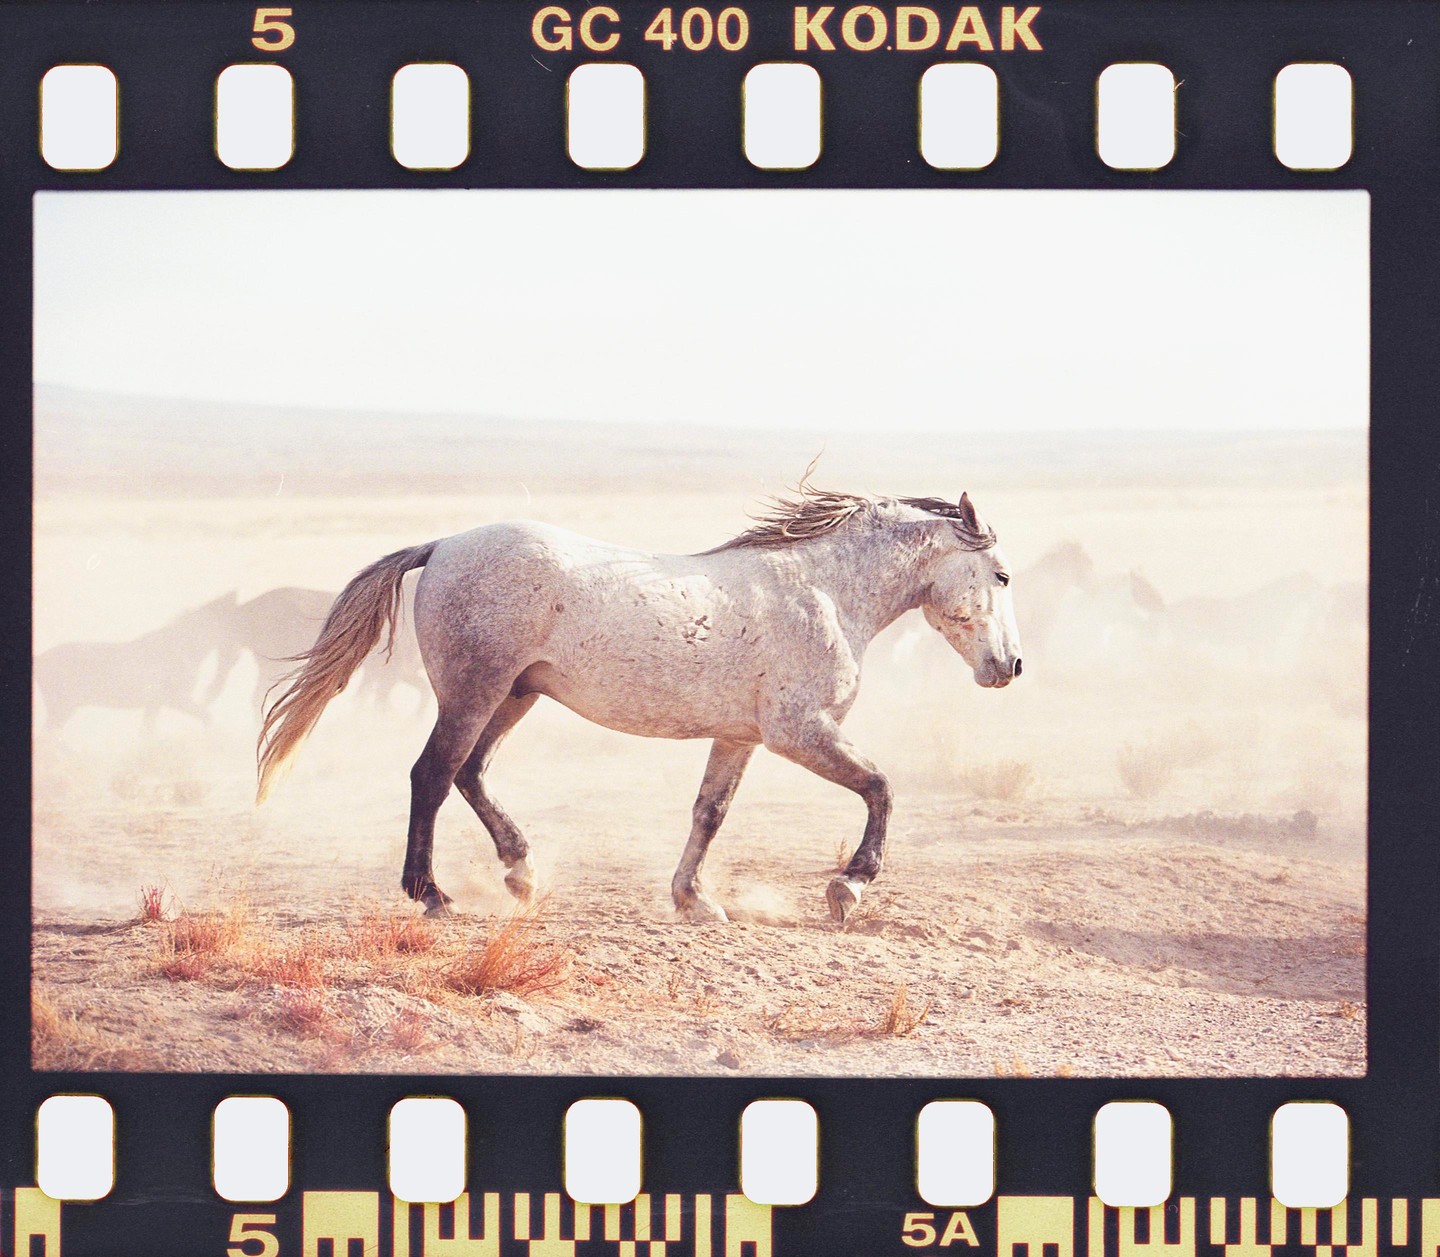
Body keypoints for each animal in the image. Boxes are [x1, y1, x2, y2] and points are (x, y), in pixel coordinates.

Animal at [257, 485, 1022, 925]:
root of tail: (443, 545)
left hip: (515, 696)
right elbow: (880, 786)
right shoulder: (799, 731)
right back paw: (432, 895)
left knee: (470, 773)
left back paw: (521, 871)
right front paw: (850, 886)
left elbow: (710, 812)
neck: (825, 590)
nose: (1010, 666)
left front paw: (695, 900)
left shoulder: (740, 736)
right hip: (474, 692)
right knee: (434, 775)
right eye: (1002, 574)